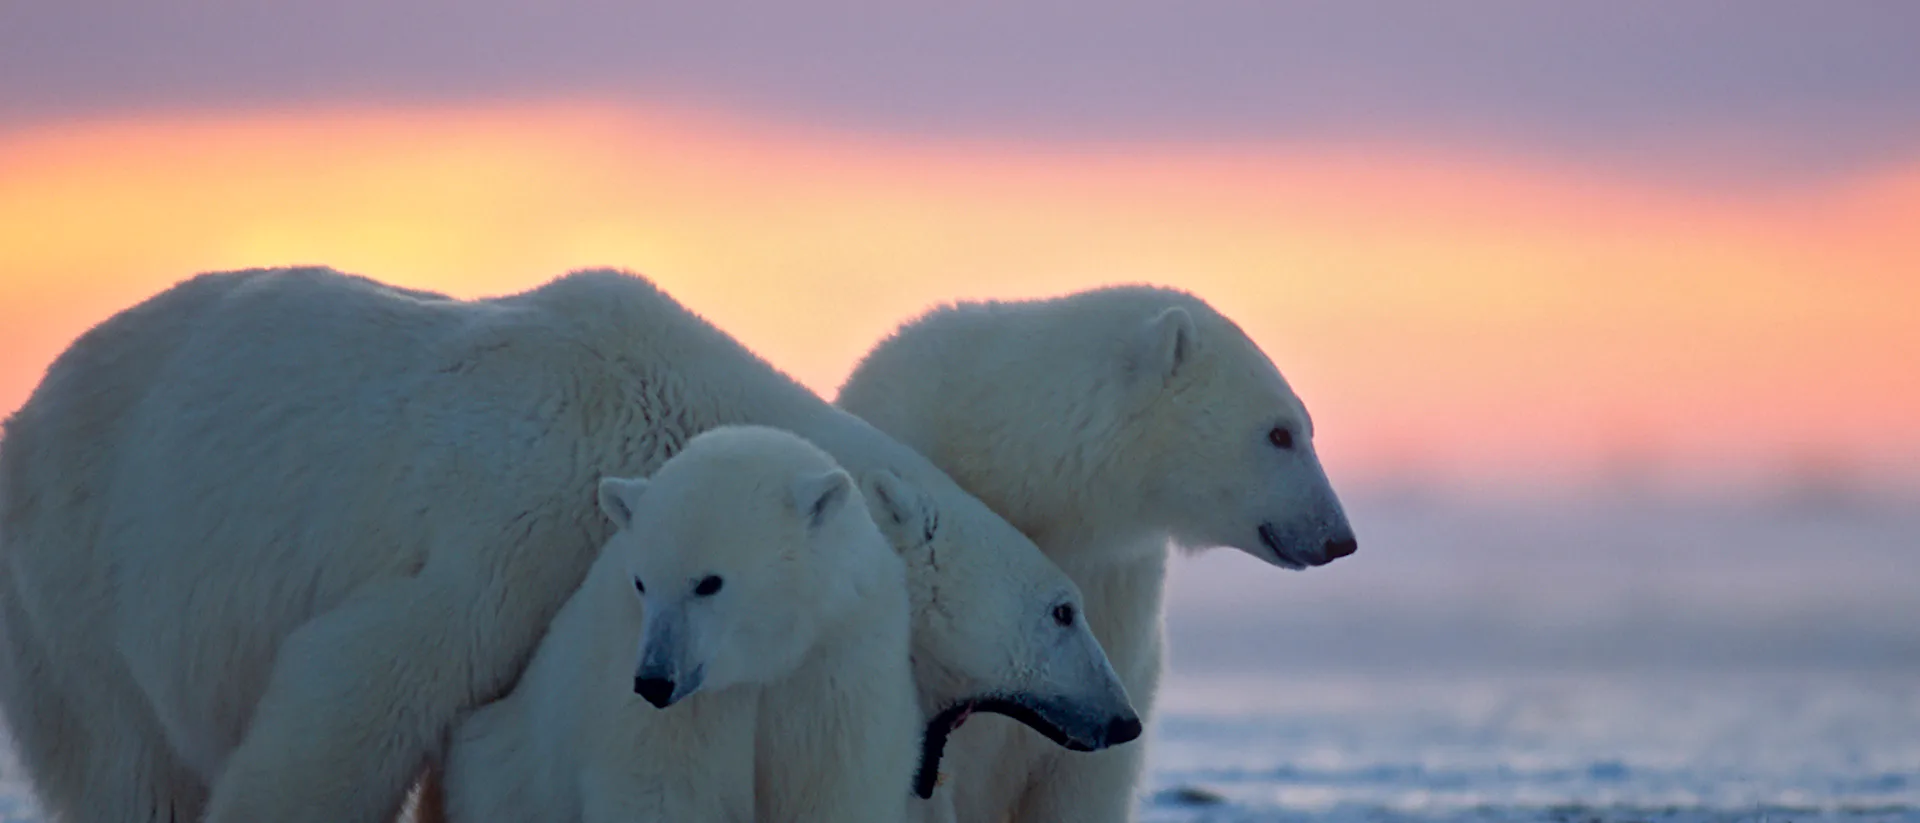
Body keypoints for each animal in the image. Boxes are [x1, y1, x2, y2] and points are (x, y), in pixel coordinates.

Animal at [438, 425, 919, 823]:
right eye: (641, 582)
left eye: (708, 582)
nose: (654, 681)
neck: (761, 666)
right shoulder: (653, 701)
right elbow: (661, 791)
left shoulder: (836, 670)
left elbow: (832, 791)